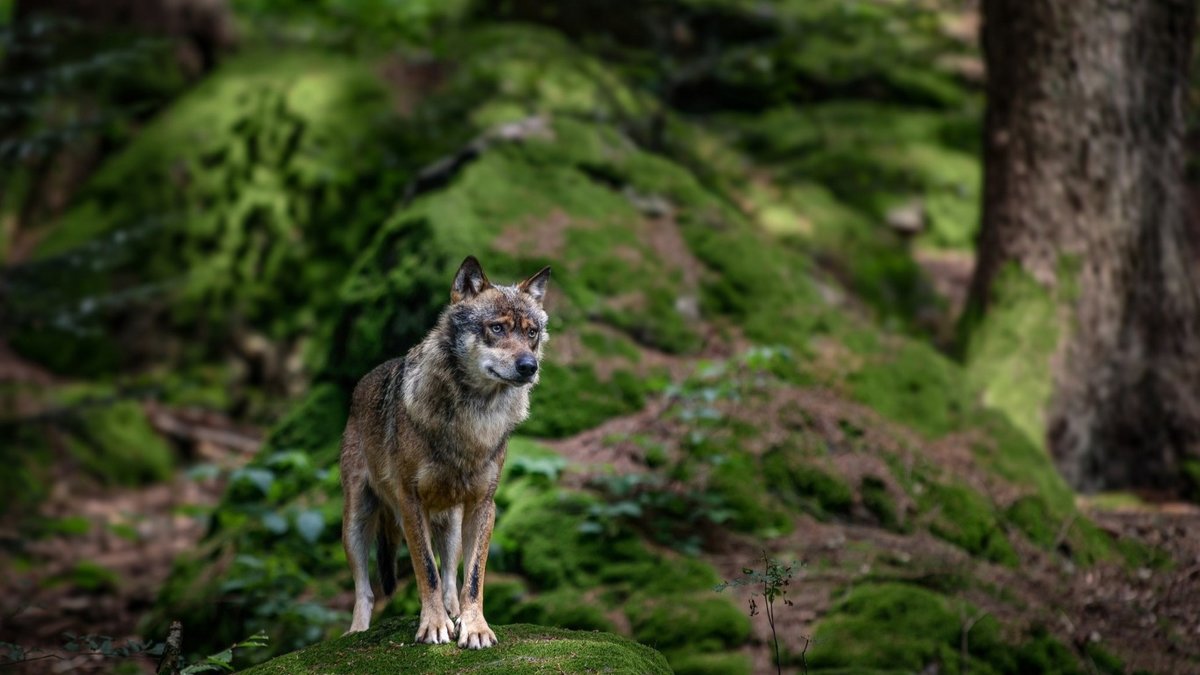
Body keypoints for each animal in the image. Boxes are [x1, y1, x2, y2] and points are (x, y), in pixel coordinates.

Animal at [339, 256, 551, 649]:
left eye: (531, 333)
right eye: (497, 328)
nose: (530, 366)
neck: (473, 417)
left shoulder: (484, 505)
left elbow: (473, 578)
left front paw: (474, 627)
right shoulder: (410, 503)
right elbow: (427, 571)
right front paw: (434, 626)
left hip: (450, 523)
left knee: (452, 575)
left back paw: (456, 616)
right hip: (357, 521)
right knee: (366, 590)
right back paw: (357, 631)